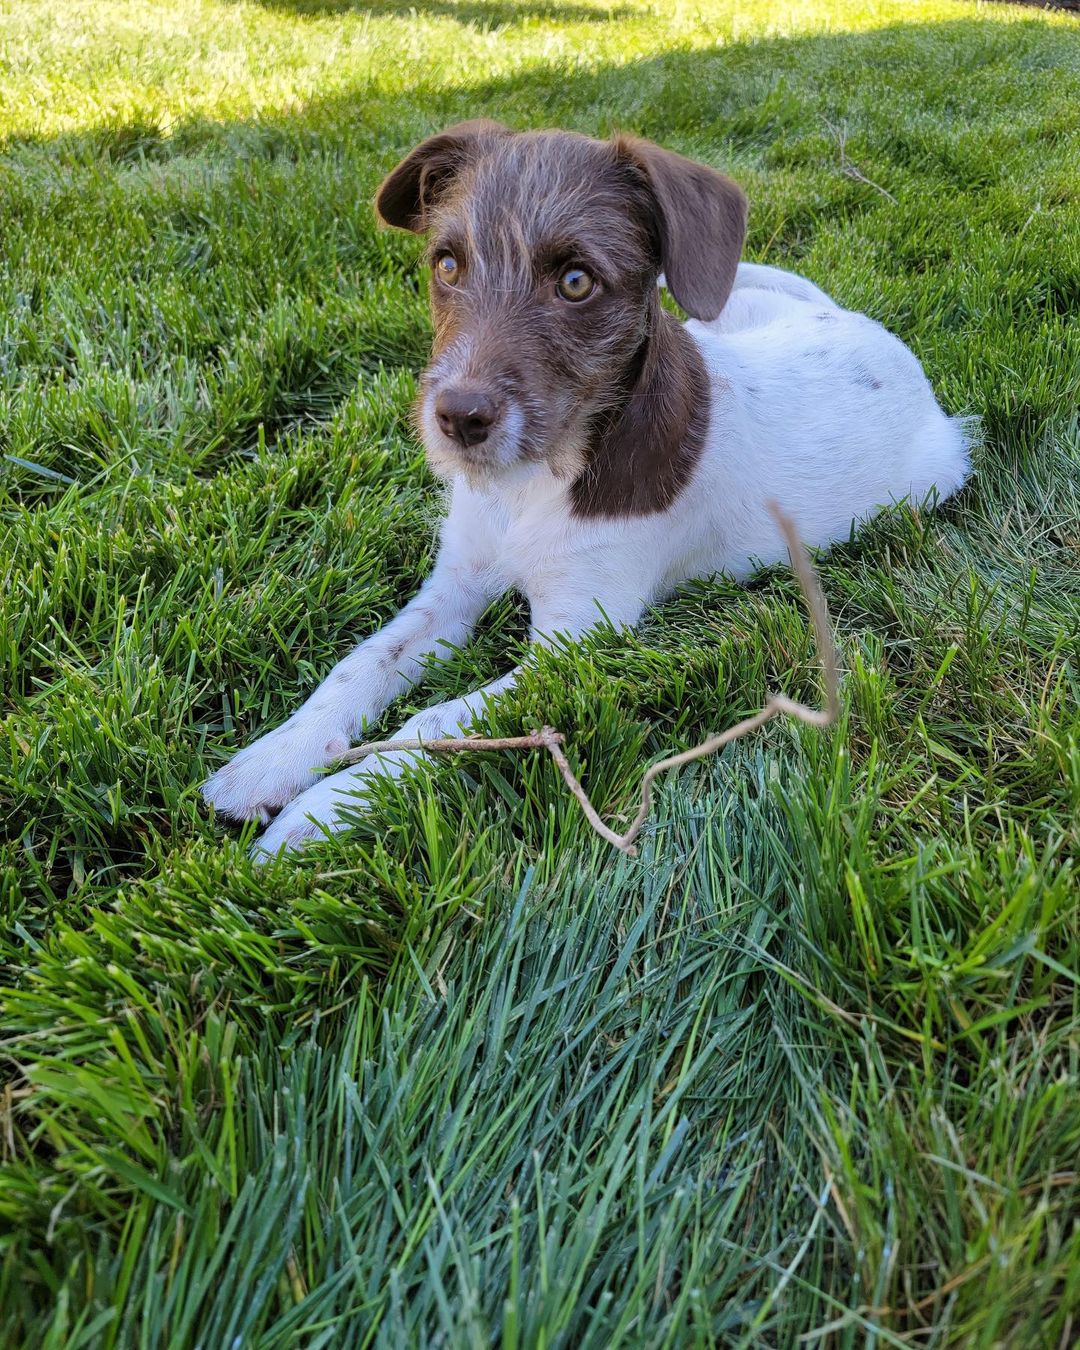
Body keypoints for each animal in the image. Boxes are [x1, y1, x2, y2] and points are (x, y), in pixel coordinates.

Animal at [202, 118, 972, 853]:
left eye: (576, 282)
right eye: (446, 264)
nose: (457, 418)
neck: (531, 482)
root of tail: (869, 331)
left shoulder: (574, 641)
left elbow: (436, 720)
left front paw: (326, 807)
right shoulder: (456, 583)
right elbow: (362, 663)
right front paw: (274, 759)